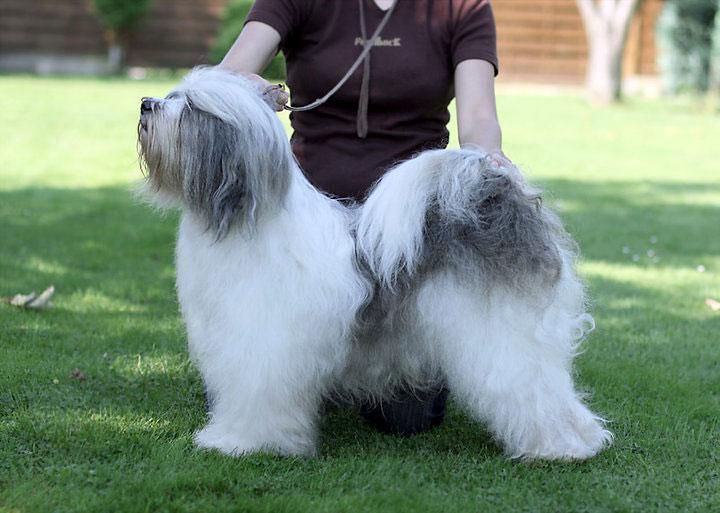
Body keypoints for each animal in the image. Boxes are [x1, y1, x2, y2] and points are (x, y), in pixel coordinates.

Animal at [138, 66, 612, 458]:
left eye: (191, 107)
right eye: (173, 94)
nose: (145, 104)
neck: (244, 220)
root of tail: (494, 188)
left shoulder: (261, 347)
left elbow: (257, 396)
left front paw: (241, 442)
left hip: (503, 335)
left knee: (536, 392)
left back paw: (561, 447)